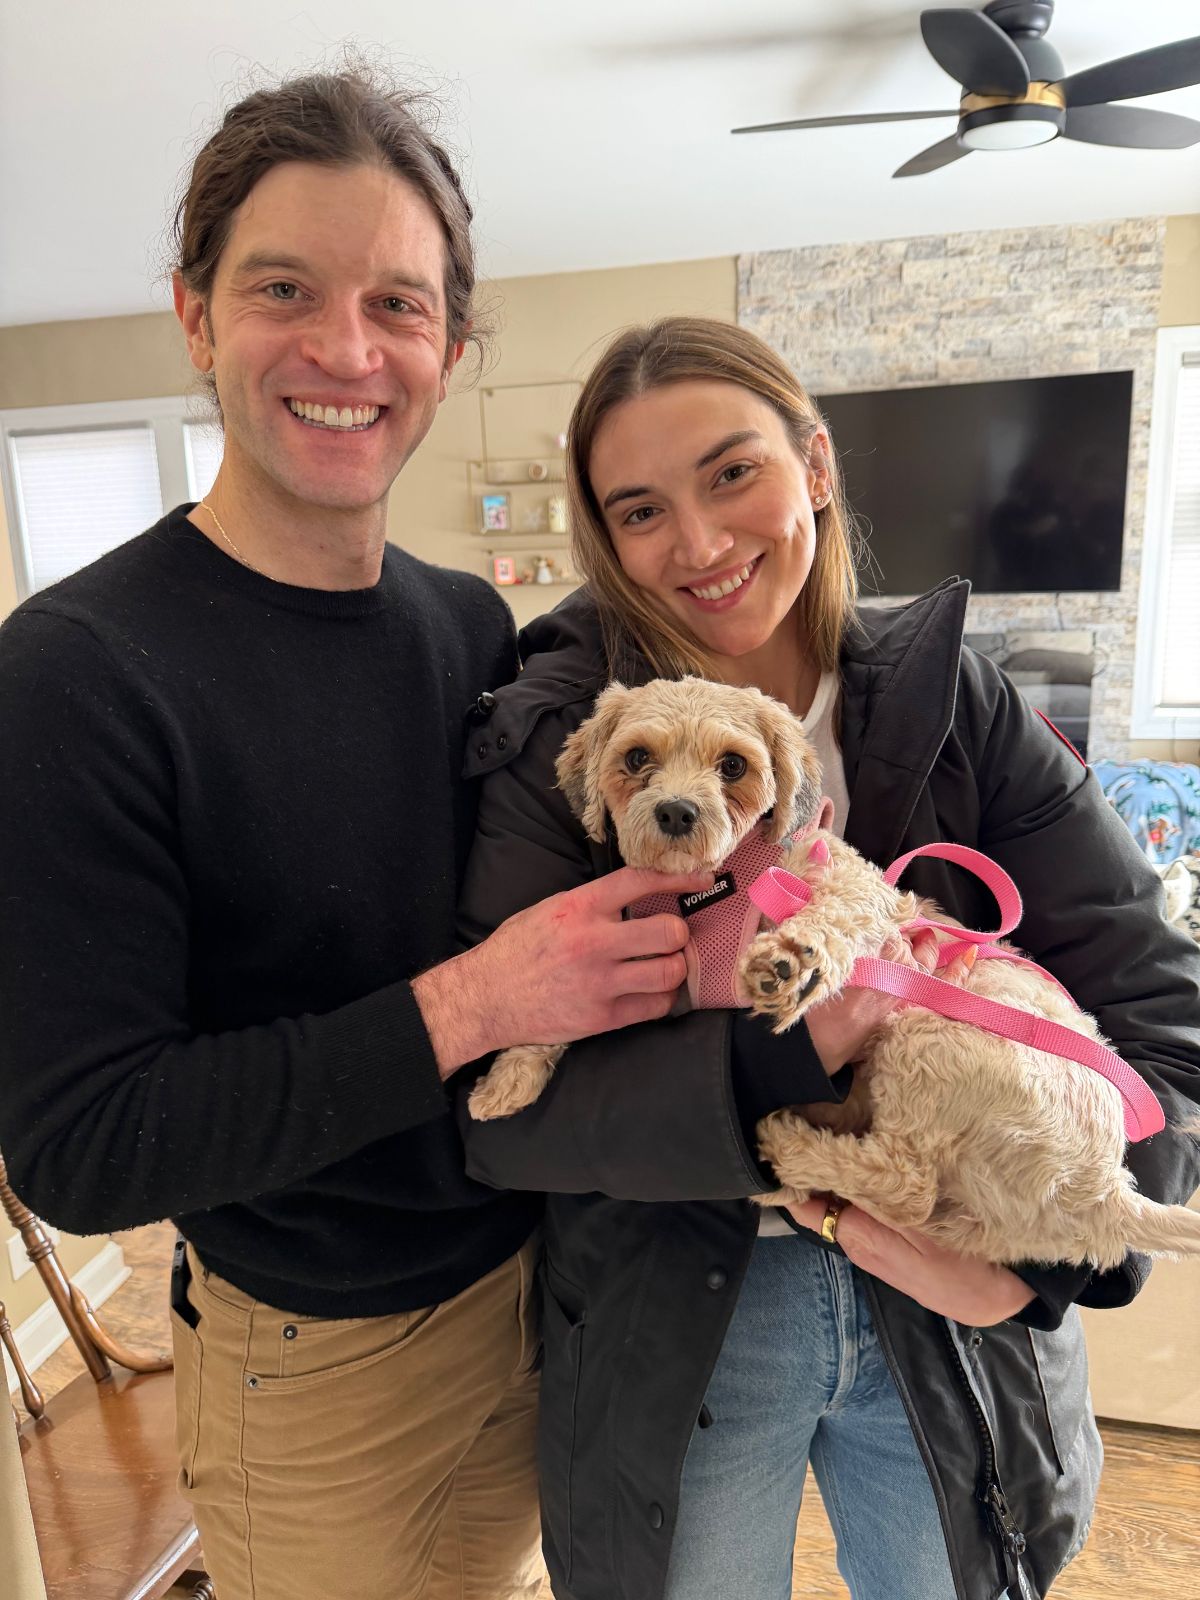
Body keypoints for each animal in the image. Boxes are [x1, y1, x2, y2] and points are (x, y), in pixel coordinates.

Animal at [469, 677, 1200, 1270]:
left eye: (732, 765)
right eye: (636, 758)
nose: (676, 811)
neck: (710, 890)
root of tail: (1103, 1191)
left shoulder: (853, 887)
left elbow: (836, 913)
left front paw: (793, 959)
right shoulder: (647, 978)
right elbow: (576, 1008)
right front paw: (508, 1075)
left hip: (930, 1035)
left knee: (906, 1184)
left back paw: (788, 1145)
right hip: (971, 1214)